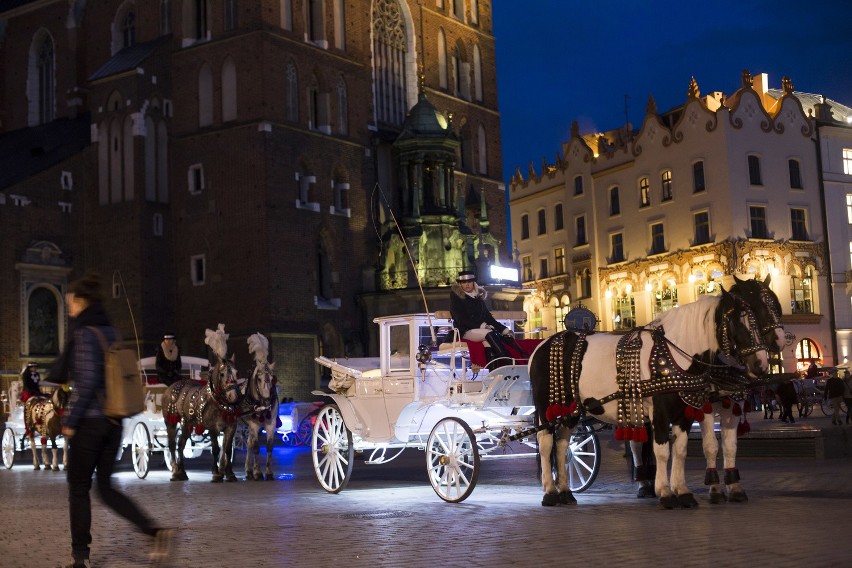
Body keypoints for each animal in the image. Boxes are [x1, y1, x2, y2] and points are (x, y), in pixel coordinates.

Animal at [163, 326, 243, 482]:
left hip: (187, 424)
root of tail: (172, 385)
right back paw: (175, 471)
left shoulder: (231, 427)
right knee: (172, 445)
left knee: (181, 444)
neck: (219, 403)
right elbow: (216, 449)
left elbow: (227, 450)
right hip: (170, 421)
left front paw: (230, 474)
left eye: (236, 372)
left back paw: (182, 472)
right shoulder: (213, 428)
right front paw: (216, 473)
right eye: (222, 374)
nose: (233, 396)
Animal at [241, 332, 278, 480]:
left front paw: (268, 471)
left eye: (273, 379)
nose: (267, 402)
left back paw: (248, 470)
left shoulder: (271, 424)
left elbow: (269, 447)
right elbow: (256, 447)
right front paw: (257, 472)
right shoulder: (253, 425)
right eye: (258, 378)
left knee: (249, 443)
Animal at [528, 290, 768, 508]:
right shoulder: (660, 412)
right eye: (737, 324)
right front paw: (665, 492)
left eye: (758, 323)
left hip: (569, 411)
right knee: (546, 443)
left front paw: (683, 492)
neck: (675, 352)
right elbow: (661, 450)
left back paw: (565, 492)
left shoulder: (685, 412)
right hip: (546, 407)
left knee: (562, 445)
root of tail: (542, 345)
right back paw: (550, 492)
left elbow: (680, 450)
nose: (761, 364)